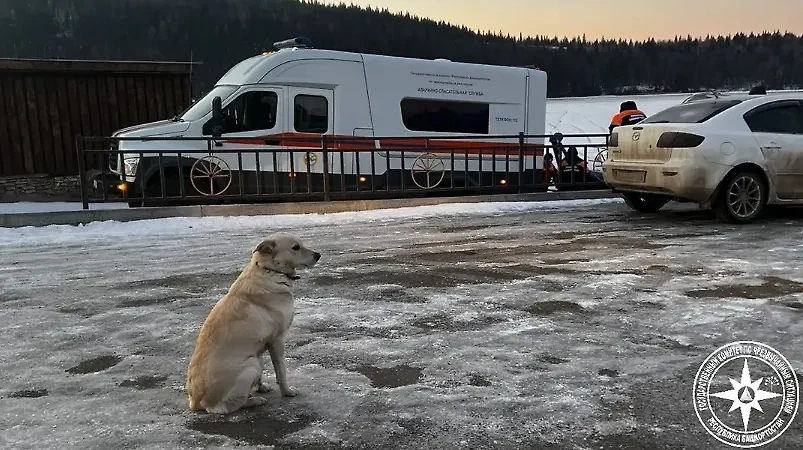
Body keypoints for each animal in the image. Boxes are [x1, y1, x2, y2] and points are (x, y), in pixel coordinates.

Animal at [185, 234, 320, 414]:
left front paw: (261, 387)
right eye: (295, 247)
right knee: (225, 407)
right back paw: (254, 401)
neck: (269, 270)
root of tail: (196, 402)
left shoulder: (261, 346)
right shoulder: (277, 340)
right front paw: (287, 392)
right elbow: (281, 372)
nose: (318, 255)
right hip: (251, 365)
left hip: (255, 360)